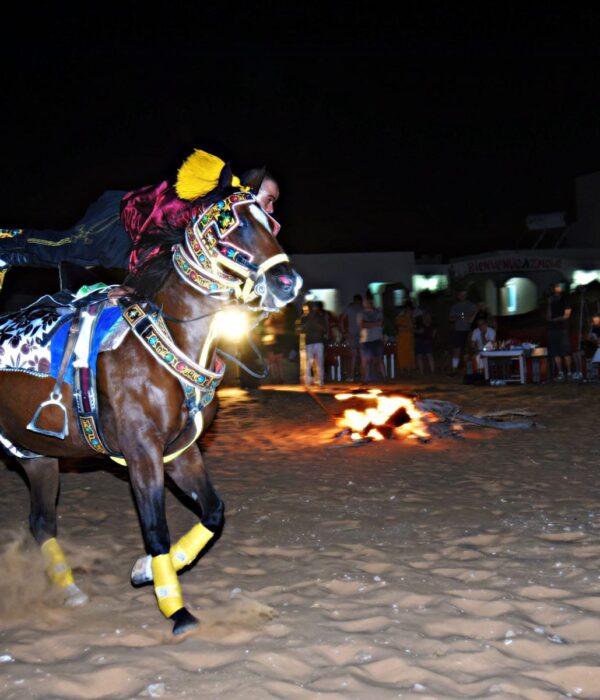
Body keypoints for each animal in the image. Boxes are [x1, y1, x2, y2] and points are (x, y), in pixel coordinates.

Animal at [0, 178, 300, 632]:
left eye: (271, 223)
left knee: (41, 523)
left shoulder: (180, 451)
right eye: (233, 225)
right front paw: (176, 608)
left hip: (37, 455)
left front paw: (148, 570)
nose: (287, 282)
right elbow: (156, 527)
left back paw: (68, 589)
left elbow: (213, 512)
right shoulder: (142, 451)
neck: (168, 340)